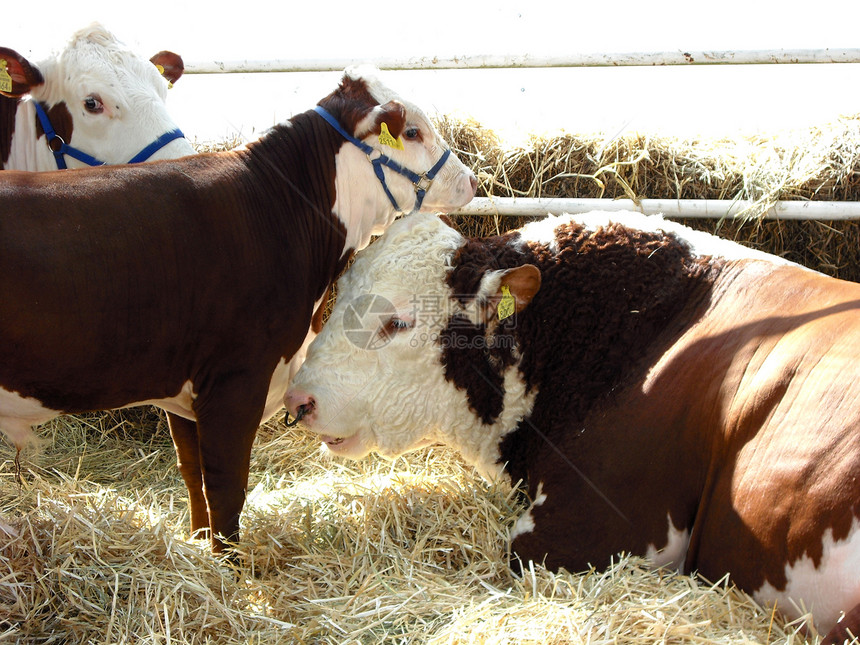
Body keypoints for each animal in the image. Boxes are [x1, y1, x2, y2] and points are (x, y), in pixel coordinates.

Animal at [0, 66, 478, 552]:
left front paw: (198, 545)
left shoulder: (185, 391)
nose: (471, 180)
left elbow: (193, 476)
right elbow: (227, 489)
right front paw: (226, 562)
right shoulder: (236, 380)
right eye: (413, 131)